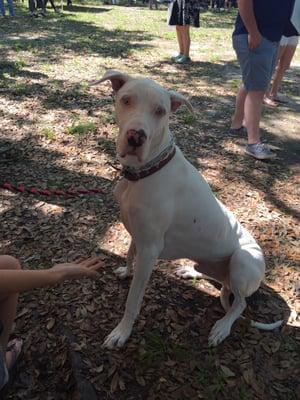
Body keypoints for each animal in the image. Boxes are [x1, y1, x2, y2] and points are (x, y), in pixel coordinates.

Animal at [91, 70, 282, 348]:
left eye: (160, 111)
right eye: (126, 100)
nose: (136, 136)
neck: (147, 169)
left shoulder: (150, 249)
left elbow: (133, 300)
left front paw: (121, 332)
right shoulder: (138, 234)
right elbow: (128, 253)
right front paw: (126, 271)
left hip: (243, 261)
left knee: (240, 304)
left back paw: (222, 327)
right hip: (211, 264)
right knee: (220, 282)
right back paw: (189, 271)